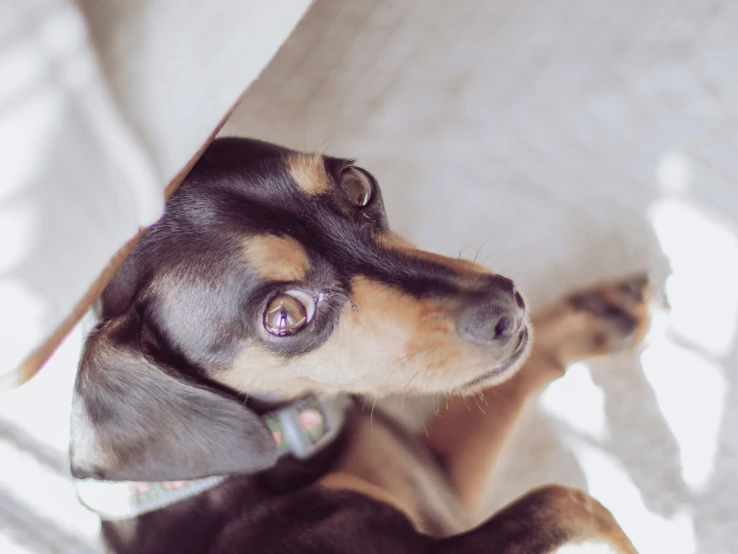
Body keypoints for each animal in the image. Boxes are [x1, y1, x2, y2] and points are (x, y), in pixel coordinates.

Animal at [67, 136, 644, 548]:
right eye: (285, 315)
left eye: (356, 185)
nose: (506, 308)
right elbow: (568, 499)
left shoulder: (444, 486)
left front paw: (598, 314)